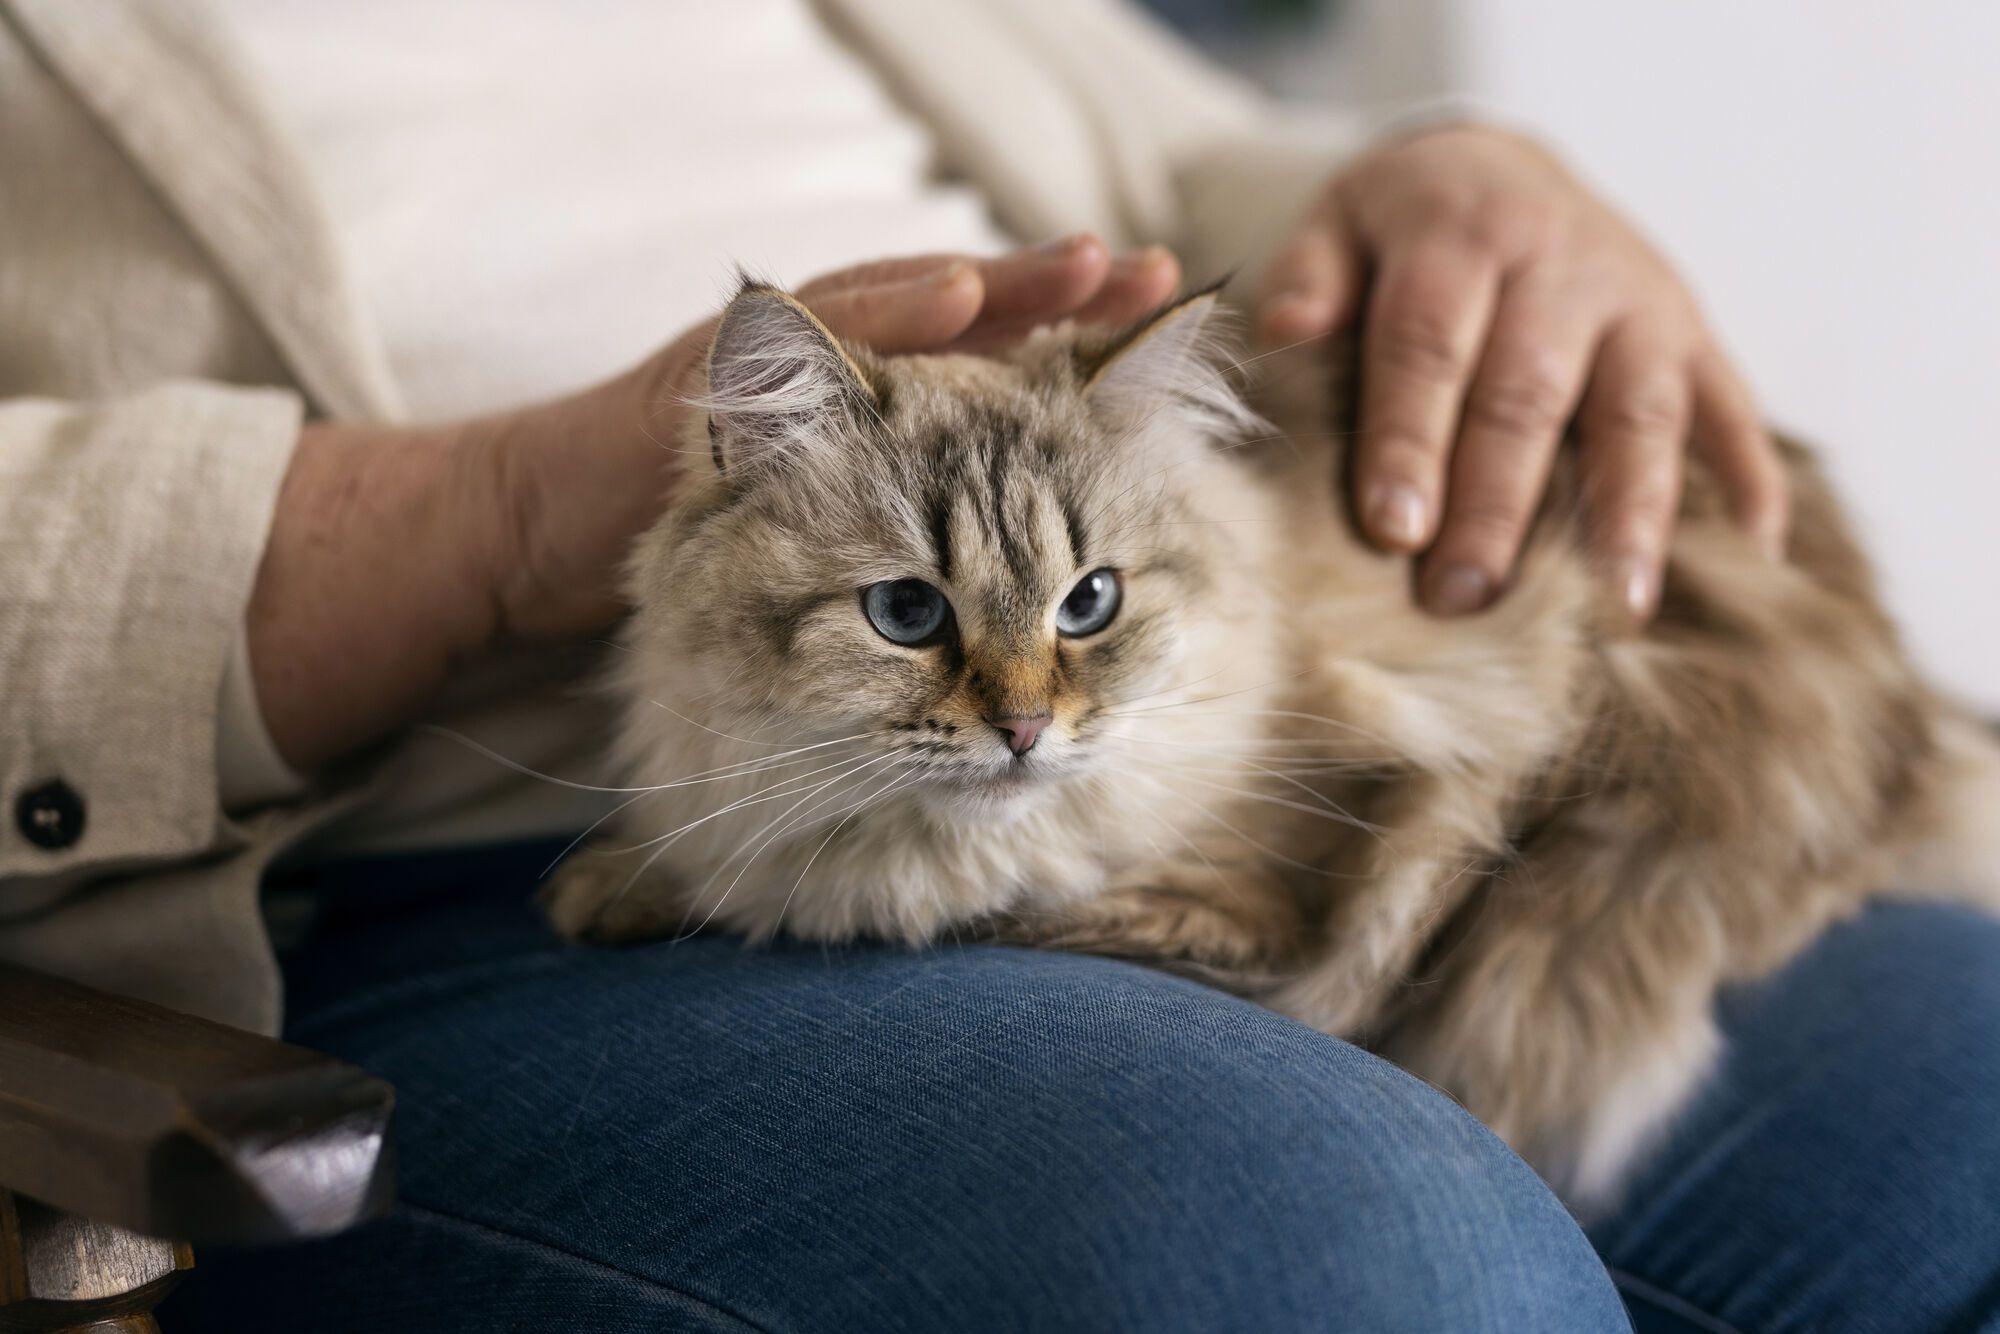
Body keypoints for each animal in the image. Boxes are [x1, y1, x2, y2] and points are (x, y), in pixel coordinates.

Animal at [544, 280, 2000, 1208]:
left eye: (1090, 603)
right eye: (908, 614)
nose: (1023, 729)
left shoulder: (1340, 845)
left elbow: (1010, 900)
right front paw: (615, 882)